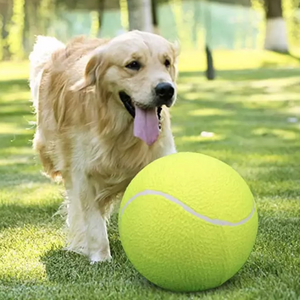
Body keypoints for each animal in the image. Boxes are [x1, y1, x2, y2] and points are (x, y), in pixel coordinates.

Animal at [29, 29, 180, 262]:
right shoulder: (83, 174)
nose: (166, 89)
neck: (120, 132)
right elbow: (92, 221)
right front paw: (100, 258)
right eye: (133, 64)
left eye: (167, 62)